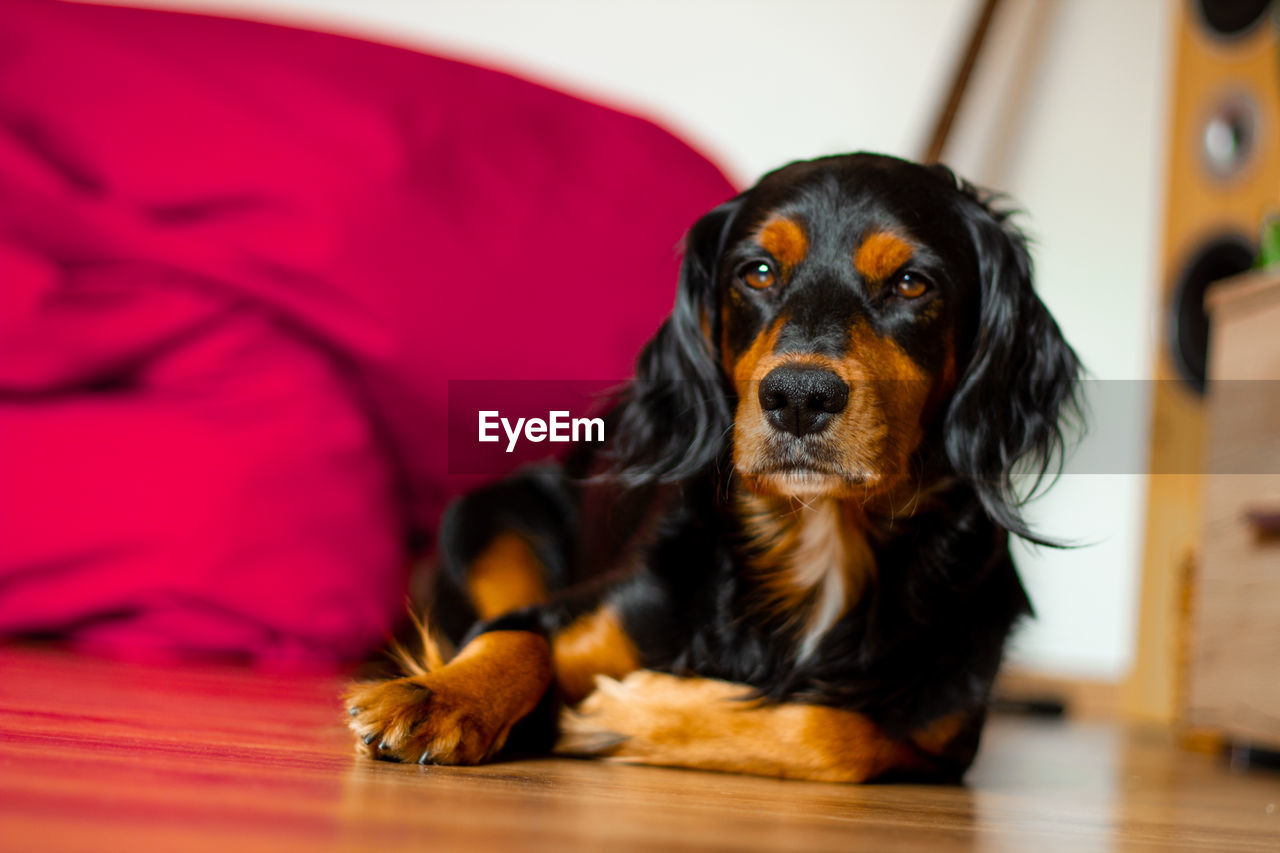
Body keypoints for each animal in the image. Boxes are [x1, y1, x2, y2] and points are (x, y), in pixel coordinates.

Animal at [348, 154, 1080, 783]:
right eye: (757, 272)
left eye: (911, 283)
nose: (799, 397)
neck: (821, 540)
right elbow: (513, 635)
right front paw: (438, 696)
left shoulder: (943, 735)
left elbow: (840, 733)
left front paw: (633, 712)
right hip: (487, 519)